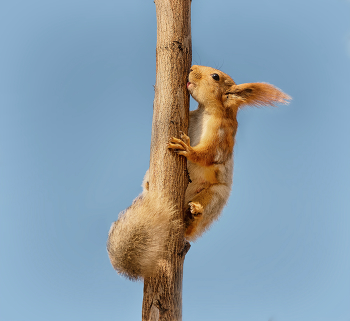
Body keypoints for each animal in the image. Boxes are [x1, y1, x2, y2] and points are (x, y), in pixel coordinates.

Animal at [106, 63, 290, 278]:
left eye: (215, 76)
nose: (192, 67)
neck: (207, 111)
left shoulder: (221, 137)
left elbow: (207, 154)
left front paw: (188, 150)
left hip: (215, 197)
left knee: (195, 223)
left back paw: (195, 213)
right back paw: (150, 183)